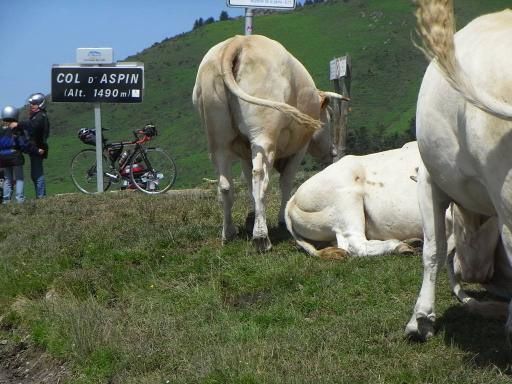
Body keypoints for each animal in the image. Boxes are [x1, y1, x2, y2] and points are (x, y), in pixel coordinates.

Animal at [194, 33, 346, 252]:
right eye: (331, 116)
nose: (333, 151)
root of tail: (238, 41)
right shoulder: (299, 148)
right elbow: (285, 182)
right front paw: (282, 219)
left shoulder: (245, 153)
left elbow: (248, 185)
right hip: (263, 135)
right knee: (260, 178)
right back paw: (261, 237)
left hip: (218, 140)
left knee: (225, 185)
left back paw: (229, 233)